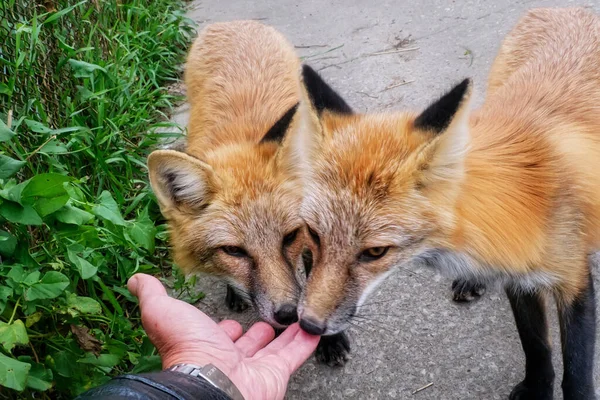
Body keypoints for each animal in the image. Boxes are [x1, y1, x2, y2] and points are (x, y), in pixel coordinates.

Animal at [146, 21, 352, 366]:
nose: (288, 315)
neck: (243, 137)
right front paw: (234, 290)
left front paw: (330, 338)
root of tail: (236, 22)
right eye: (234, 251)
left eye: (290, 236)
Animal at [296, 7, 600, 398]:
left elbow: (576, 368)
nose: (309, 326)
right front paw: (536, 387)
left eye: (375, 252)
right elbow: (535, 344)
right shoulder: (519, 277)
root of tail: (566, 8)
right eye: (313, 234)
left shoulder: (573, 277)